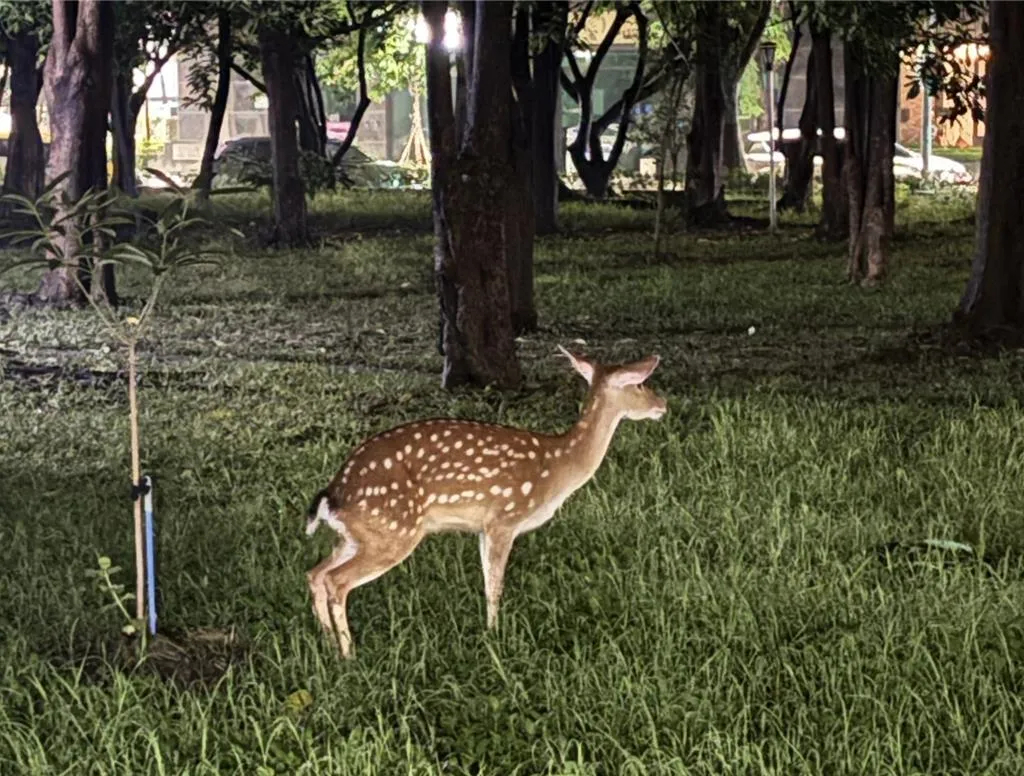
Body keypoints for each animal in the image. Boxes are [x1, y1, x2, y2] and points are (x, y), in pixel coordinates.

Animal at [304, 346, 667, 658]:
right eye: (639, 383)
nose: (662, 404)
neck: (558, 466)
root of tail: (333, 494)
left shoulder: (481, 527)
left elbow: (485, 580)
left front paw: (489, 632)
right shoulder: (504, 518)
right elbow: (495, 585)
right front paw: (496, 635)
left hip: (360, 534)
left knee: (315, 573)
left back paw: (328, 645)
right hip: (393, 530)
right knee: (337, 581)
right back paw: (349, 654)